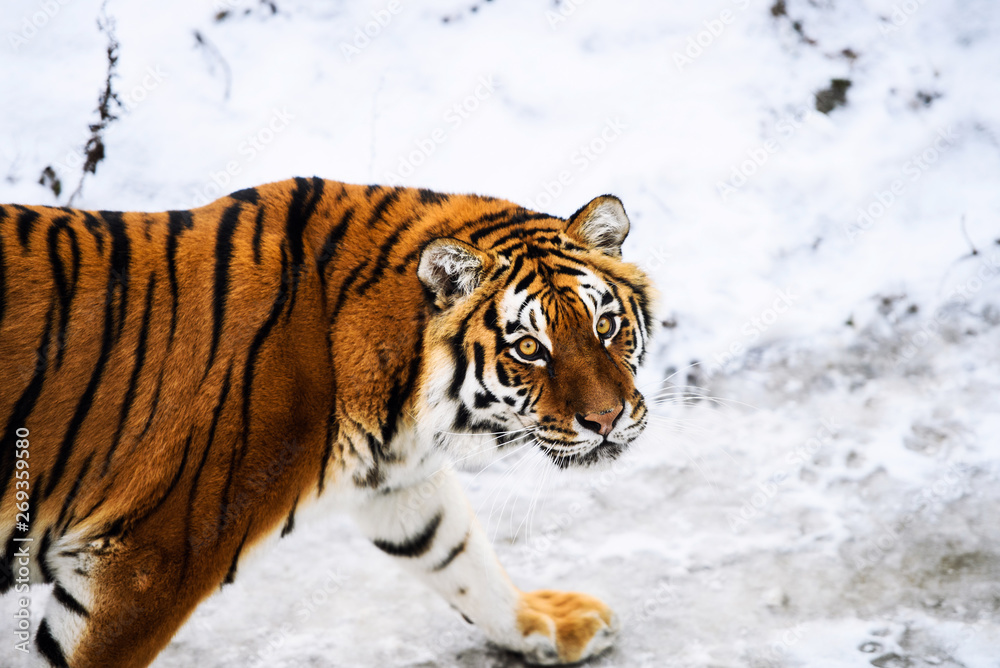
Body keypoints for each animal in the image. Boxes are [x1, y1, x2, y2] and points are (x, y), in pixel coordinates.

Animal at [0, 177, 654, 667]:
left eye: (605, 326)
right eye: (529, 349)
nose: (607, 418)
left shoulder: (397, 479)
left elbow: (457, 551)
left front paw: (545, 623)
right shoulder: (148, 562)